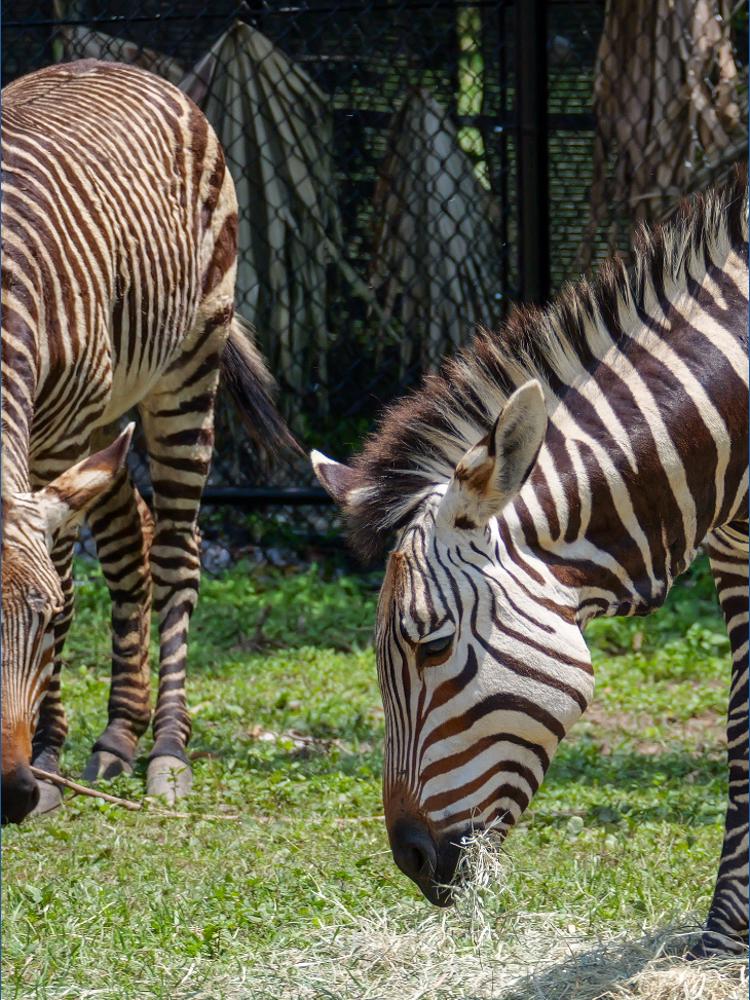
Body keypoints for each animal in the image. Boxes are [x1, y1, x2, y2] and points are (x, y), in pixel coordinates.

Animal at [1, 60, 293, 824]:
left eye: (42, 623)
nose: (10, 792)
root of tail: (116, 65)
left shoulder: (56, 447)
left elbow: (69, 589)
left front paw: (47, 759)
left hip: (186, 370)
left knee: (174, 554)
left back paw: (165, 751)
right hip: (107, 415)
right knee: (129, 544)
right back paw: (116, 737)